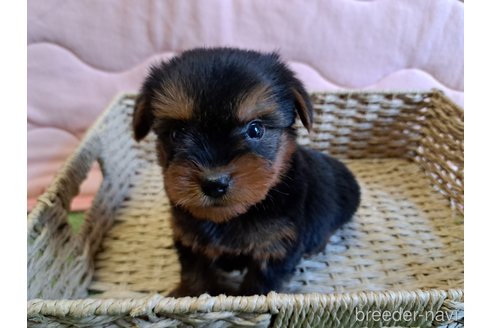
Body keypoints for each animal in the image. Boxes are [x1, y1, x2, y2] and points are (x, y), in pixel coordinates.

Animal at [133, 47, 360, 296]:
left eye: (256, 129)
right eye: (176, 133)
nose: (214, 183)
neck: (230, 218)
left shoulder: (276, 246)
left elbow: (259, 288)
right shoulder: (189, 237)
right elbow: (195, 274)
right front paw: (188, 294)